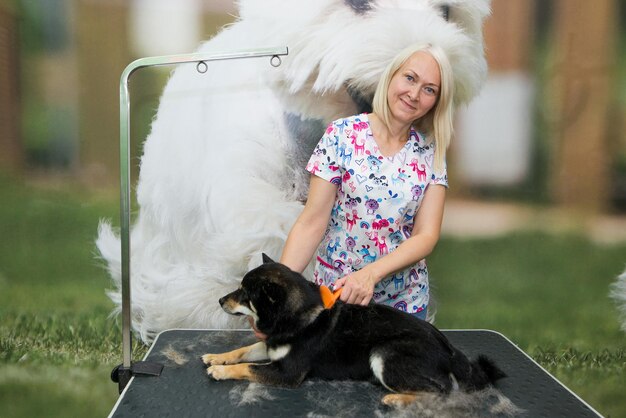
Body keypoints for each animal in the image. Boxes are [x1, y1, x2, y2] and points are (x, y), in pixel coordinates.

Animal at [202, 255, 504, 404]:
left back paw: (396, 399)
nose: (220, 300)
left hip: (383, 354)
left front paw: (220, 370)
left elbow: (248, 367)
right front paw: (218, 358)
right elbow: (243, 351)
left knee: (442, 390)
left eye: (244, 293)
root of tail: (449, 349)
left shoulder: (287, 373)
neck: (297, 316)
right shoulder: (271, 346)